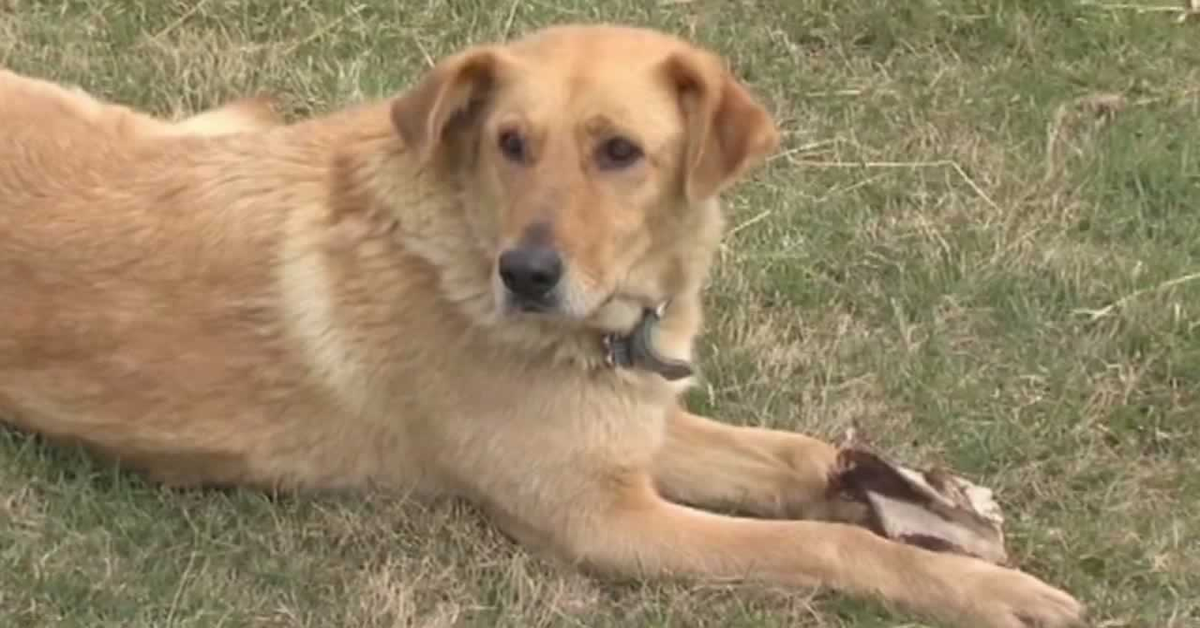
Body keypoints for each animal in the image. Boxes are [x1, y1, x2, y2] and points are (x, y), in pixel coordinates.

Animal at [0, 24, 1084, 628]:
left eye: (620, 152)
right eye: (510, 142)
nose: (525, 275)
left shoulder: (633, 424)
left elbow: (787, 455)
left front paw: (919, 502)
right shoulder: (608, 521)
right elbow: (824, 548)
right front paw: (977, 589)